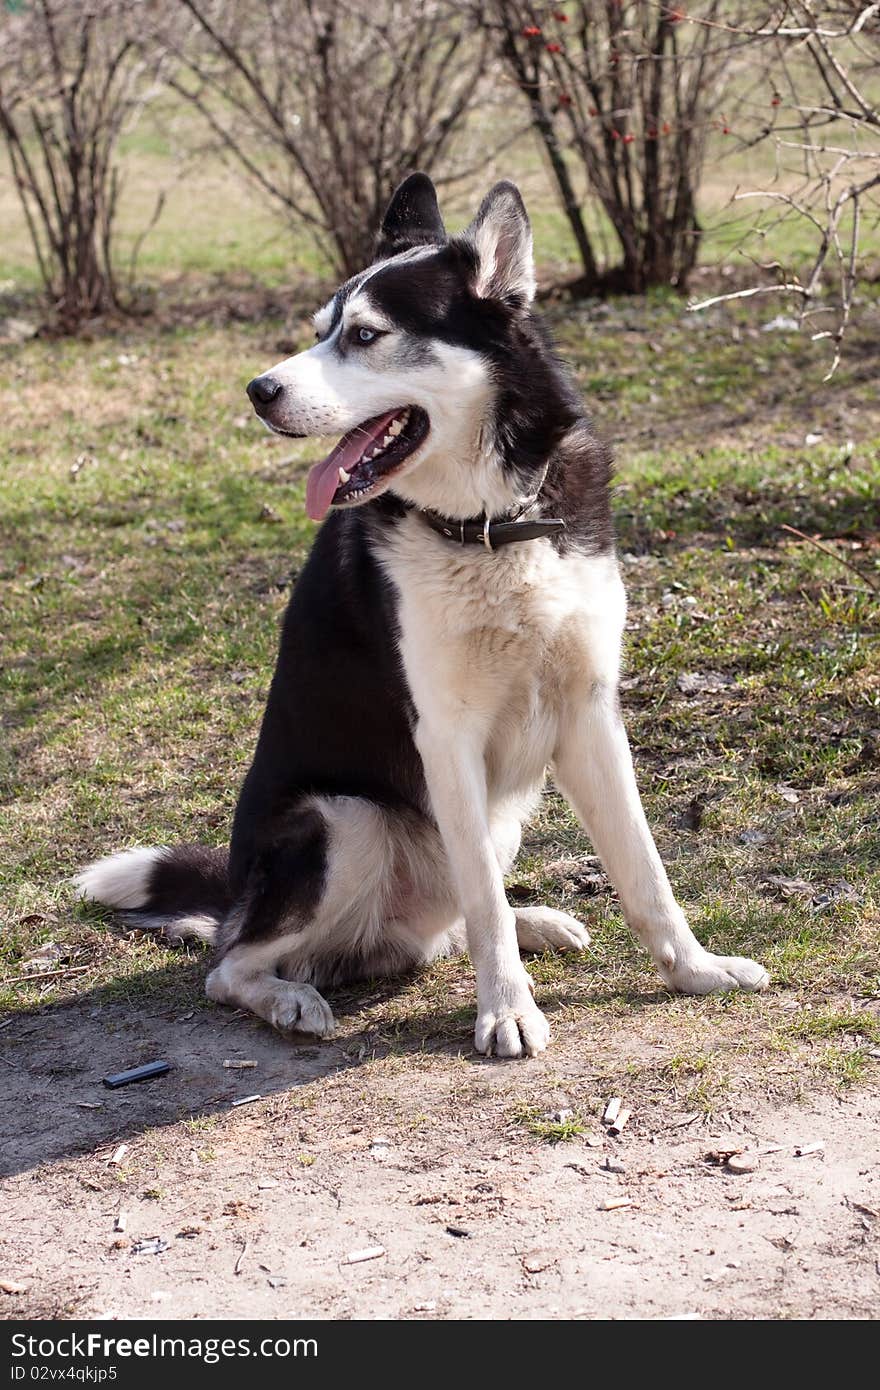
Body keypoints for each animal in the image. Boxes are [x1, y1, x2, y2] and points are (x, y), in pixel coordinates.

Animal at [77, 179, 767, 1056]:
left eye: (365, 335)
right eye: (319, 331)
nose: (258, 391)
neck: (492, 527)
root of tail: (233, 899)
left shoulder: (590, 714)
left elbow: (644, 872)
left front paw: (697, 970)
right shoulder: (446, 733)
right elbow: (485, 906)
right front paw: (507, 1011)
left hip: (495, 815)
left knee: (449, 921)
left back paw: (536, 922)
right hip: (345, 821)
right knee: (231, 967)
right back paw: (291, 997)